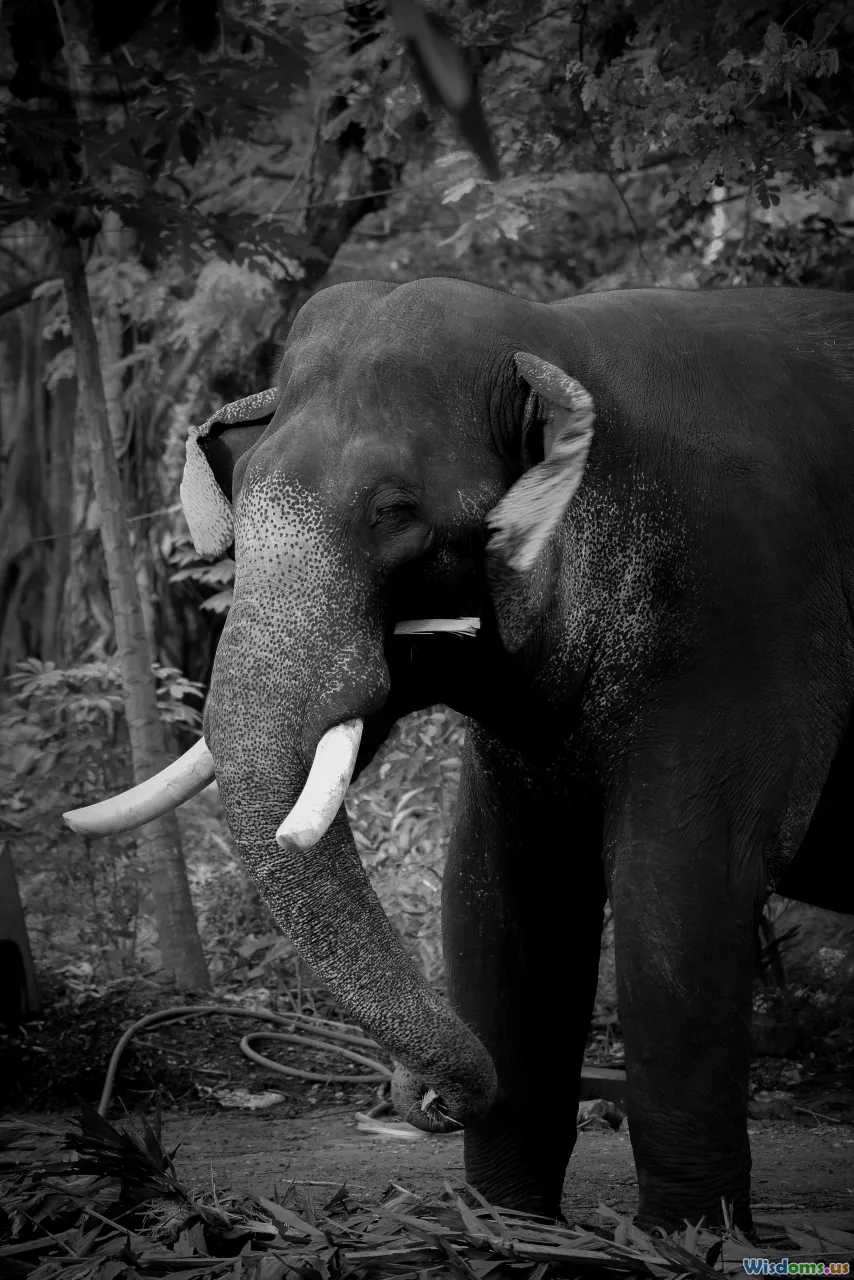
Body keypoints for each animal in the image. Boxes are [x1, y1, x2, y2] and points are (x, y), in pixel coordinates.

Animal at [66, 278, 854, 1232]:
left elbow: (682, 891)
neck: (561, 340)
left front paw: (687, 1236)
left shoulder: (746, 609)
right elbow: (495, 895)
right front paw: (508, 1224)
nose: (423, 1099)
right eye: (240, 503)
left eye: (394, 514)